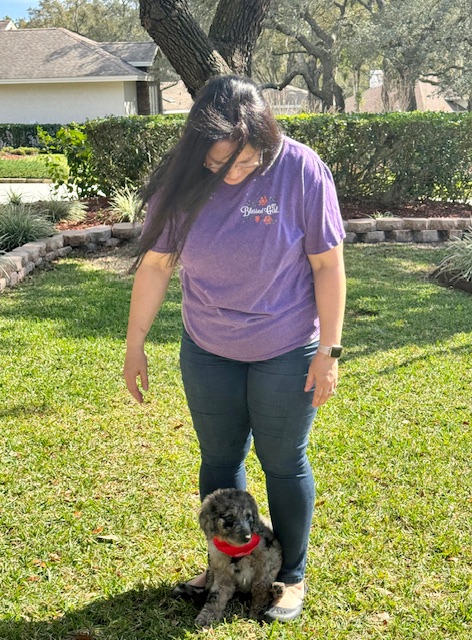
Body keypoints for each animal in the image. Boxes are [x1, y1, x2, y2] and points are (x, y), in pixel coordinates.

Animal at [195, 488, 285, 627]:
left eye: (248, 516)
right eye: (229, 517)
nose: (247, 537)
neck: (238, 550)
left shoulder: (268, 562)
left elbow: (261, 588)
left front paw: (257, 612)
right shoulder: (222, 572)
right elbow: (215, 596)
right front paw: (206, 617)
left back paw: (277, 589)